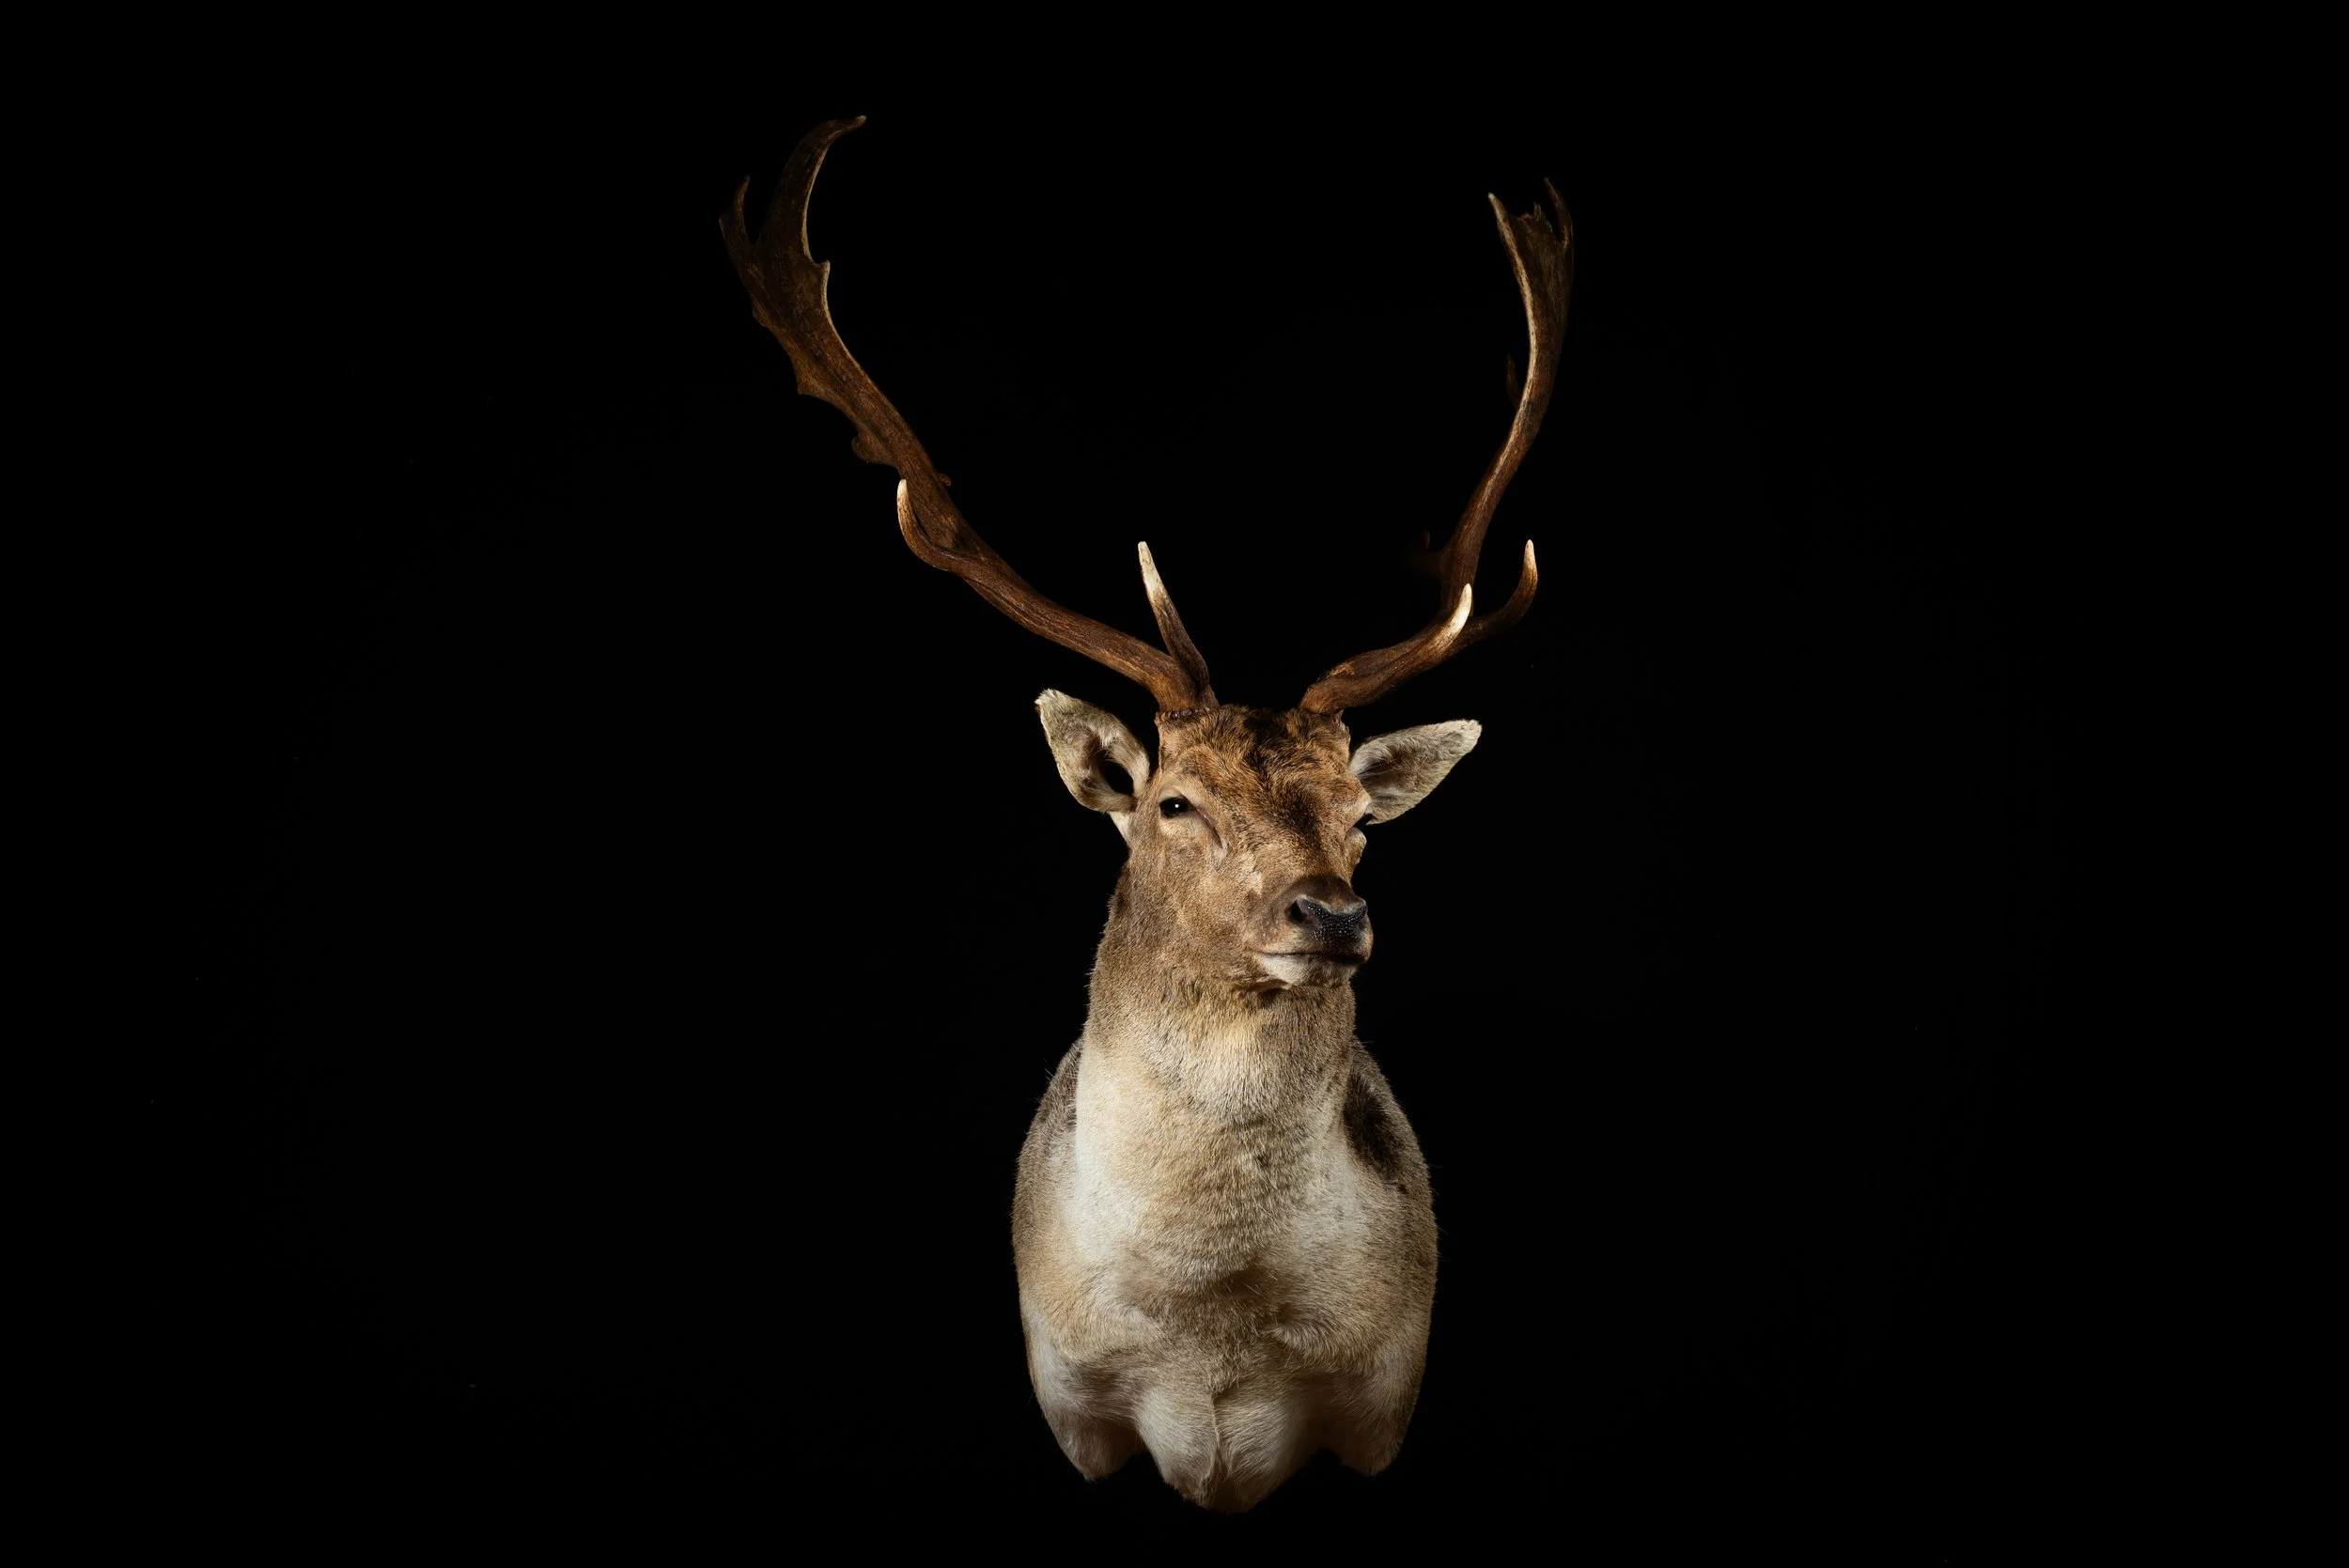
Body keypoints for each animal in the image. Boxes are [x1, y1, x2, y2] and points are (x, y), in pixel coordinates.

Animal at [723, 117, 1570, 1512]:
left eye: (1362, 814)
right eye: (1176, 800)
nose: (1331, 914)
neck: (1210, 1338)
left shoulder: (1383, 1405)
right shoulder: (1073, 1409)